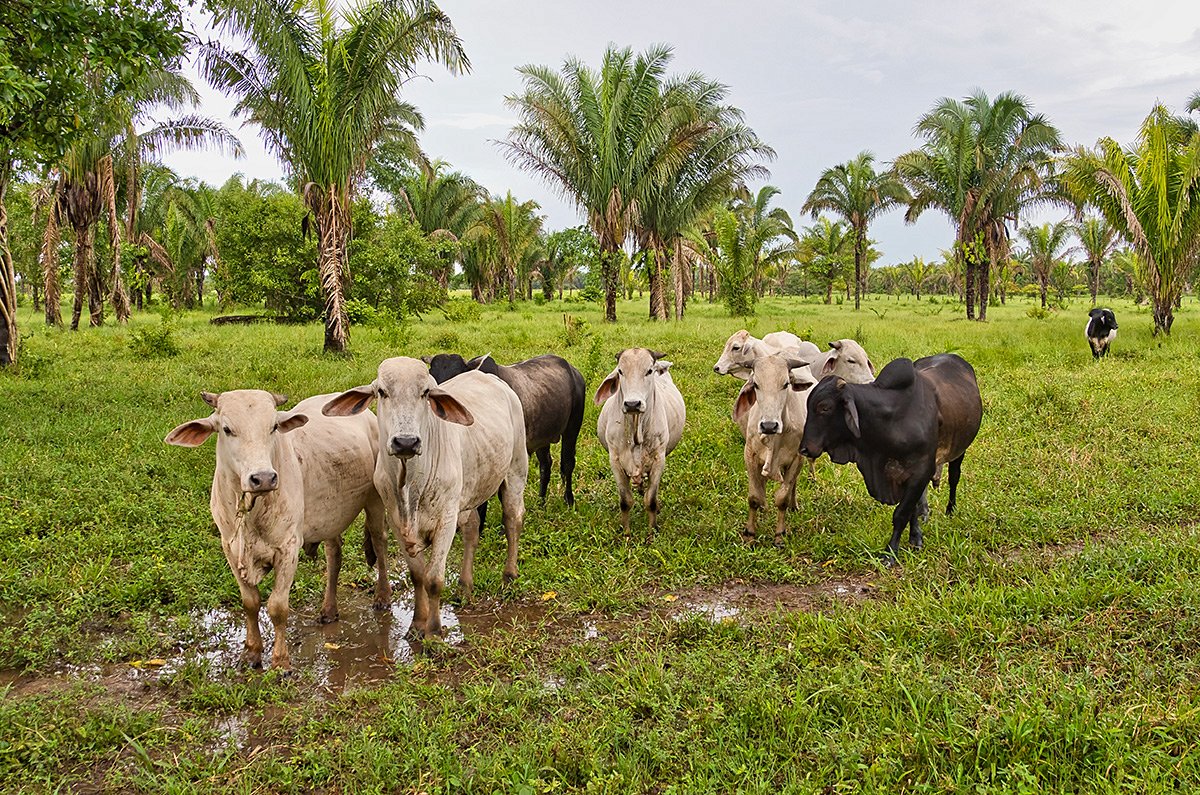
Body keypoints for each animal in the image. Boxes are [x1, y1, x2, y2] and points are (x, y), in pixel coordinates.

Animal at [163, 389, 388, 667]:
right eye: (226, 429)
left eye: (273, 427)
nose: (263, 478)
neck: (252, 511)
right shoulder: (230, 548)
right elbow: (250, 603)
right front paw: (251, 651)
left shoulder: (288, 548)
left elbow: (278, 607)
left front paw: (281, 661)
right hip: (330, 517)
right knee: (334, 556)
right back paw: (328, 610)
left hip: (375, 501)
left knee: (379, 544)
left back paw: (382, 598)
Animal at [324, 357, 525, 638]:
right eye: (382, 392)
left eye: (426, 393)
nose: (406, 442)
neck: (410, 484)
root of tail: (492, 379)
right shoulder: (397, 520)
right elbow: (417, 574)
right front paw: (418, 624)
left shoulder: (446, 520)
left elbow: (434, 579)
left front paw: (434, 631)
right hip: (469, 494)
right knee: (472, 529)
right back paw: (465, 586)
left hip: (516, 469)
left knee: (512, 520)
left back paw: (509, 575)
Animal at [592, 348, 686, 538]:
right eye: (620, 371)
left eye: (649, 371)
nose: (632, 404)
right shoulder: (615, 461)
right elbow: (625, 501)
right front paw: (627, 534)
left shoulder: (659, 460)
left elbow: (650, 500)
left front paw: (651, 533)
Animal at [796, 355, 984, 559]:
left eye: (824, 408)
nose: (804, 449)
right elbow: (911, 509)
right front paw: (915, 538)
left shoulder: (921, 471)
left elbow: (901, 513)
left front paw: (890, 553)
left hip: (960, 449)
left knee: (954, 478)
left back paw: (950, 510)